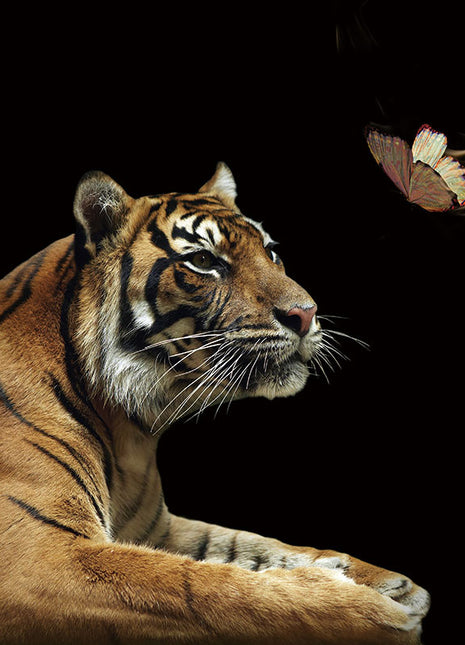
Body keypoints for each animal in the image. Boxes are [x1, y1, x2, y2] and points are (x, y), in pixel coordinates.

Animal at [0, 163, 430, 644]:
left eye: (271, 253)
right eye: (204, 262)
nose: (306, 314)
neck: (127, 429)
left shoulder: (156, 527)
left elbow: (245, 544)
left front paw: (389, 584)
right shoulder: (38, 557)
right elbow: (206, 588)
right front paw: (376, 615)